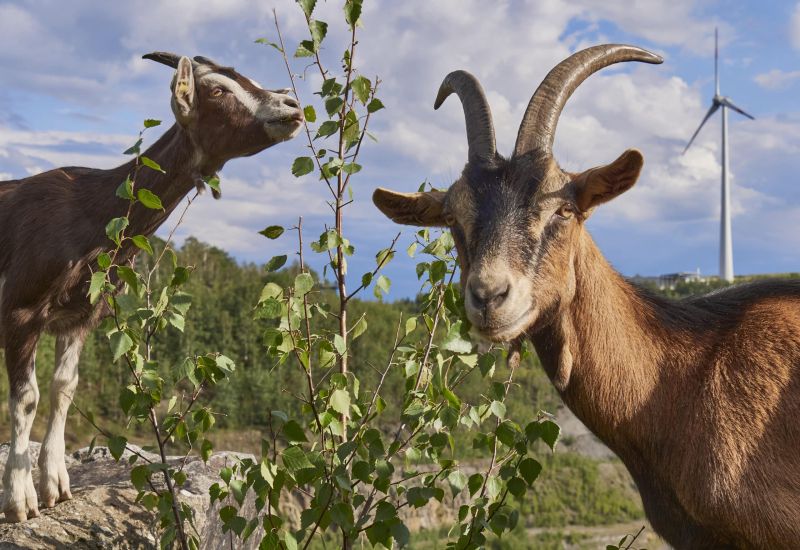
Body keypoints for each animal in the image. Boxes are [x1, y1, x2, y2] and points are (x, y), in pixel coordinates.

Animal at [0, 52, 303, 522]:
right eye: (217, 90)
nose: (292, 106)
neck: (88, 212)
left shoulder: (81, 316)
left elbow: (63, 387)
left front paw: (56, 486)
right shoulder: (20, 311)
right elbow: (27, 399)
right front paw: (20, 501)